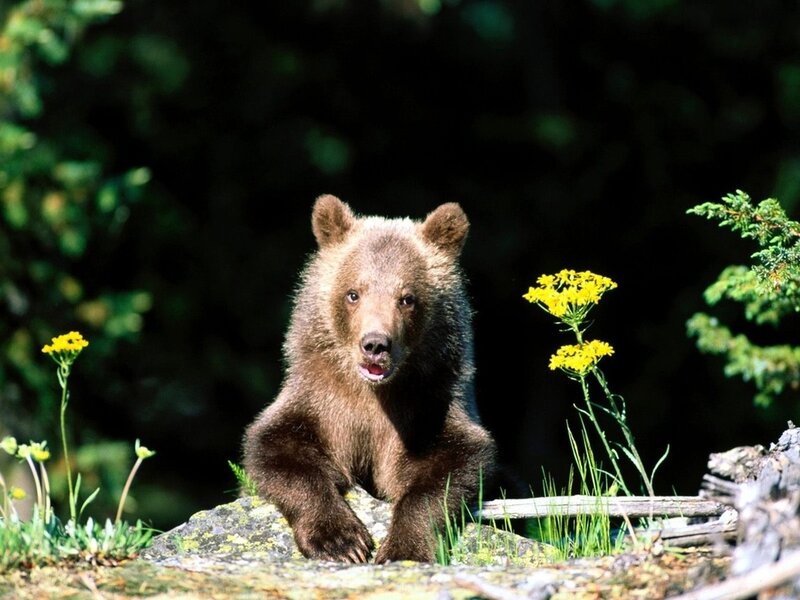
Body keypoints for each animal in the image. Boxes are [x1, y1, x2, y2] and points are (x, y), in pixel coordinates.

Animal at [242, 194, 497, 564]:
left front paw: (402, 548)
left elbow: (449, 467)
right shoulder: (319, 397)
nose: (375, 344)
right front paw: (340, 540)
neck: (373, 393)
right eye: (353, 293)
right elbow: (279, 449)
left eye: (407, 297)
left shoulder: (429, 402)